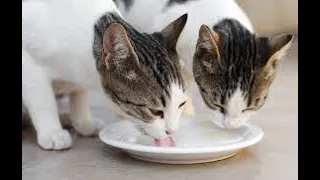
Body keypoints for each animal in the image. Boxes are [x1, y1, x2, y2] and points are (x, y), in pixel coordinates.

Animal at [23, 0, 188, 150]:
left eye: (181, 104)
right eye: (155, 111)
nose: (172, 131)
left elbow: (79, 93)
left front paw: (83, 122)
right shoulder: (29, 63)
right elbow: (42, 99)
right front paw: (52, 132)